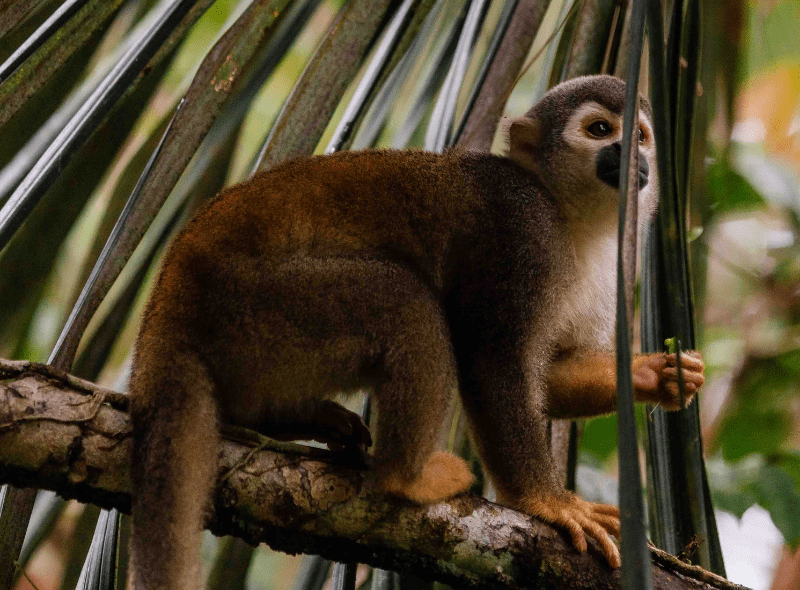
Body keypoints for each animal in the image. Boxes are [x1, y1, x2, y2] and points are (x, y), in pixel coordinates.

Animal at [128, 75, 704, 588]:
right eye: (600, 129)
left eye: (641, 135)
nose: (631, 156)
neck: (570, 216)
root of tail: (172, 285)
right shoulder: (519, 231)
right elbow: (490, 360)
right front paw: (548, 503)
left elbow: (549, 374)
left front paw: (655, 375)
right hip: (256, 301)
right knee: (407, 303)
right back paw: (405, 479)